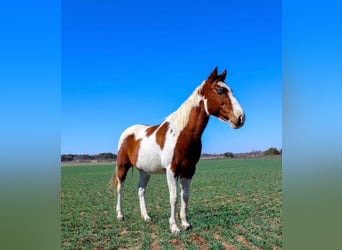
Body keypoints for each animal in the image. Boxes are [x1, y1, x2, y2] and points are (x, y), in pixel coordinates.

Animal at [108, 67, 244, 234]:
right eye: (220, 90)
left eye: (231, 90)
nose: (240, 117)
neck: (182, 134)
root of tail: (127, 132)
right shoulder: (171, 170)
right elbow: (174, 198)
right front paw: (174, 227)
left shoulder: (189, 170)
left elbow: (185, 196)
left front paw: (185, 223)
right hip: (122, 166)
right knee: (120, 189)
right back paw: (120, 215)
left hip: (145, 171)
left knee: (141, 190)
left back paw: (146, 217)